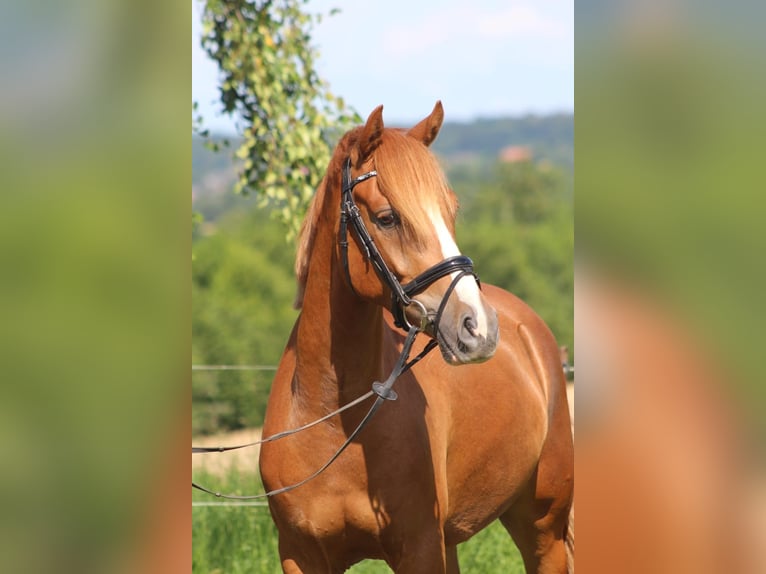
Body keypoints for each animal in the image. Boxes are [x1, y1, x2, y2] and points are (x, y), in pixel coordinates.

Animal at [260, 101, 572, 572]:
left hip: (542, 527)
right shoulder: (300, 555)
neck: (329, 419)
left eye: (451, 211)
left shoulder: (419, 549)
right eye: (387, 218)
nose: (479, 327)